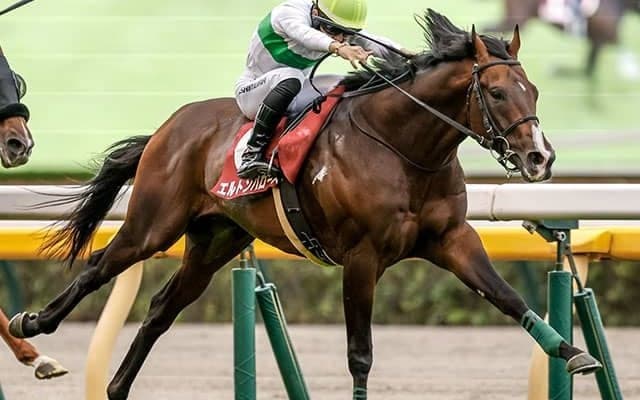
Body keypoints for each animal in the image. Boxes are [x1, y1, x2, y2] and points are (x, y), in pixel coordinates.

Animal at [9, 9, 602, 400]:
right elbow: (360, 352)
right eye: (497, 93)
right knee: (97, 267)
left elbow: (508, 298)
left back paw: (115, 386)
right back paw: (33, 324)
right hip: (154, 223)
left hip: (216, 238)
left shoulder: (452, 239)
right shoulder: (362, 257)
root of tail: (167, 127)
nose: (540, 157)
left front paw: (574, 353)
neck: (403, 148)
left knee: (160, 310)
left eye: (533, 92)